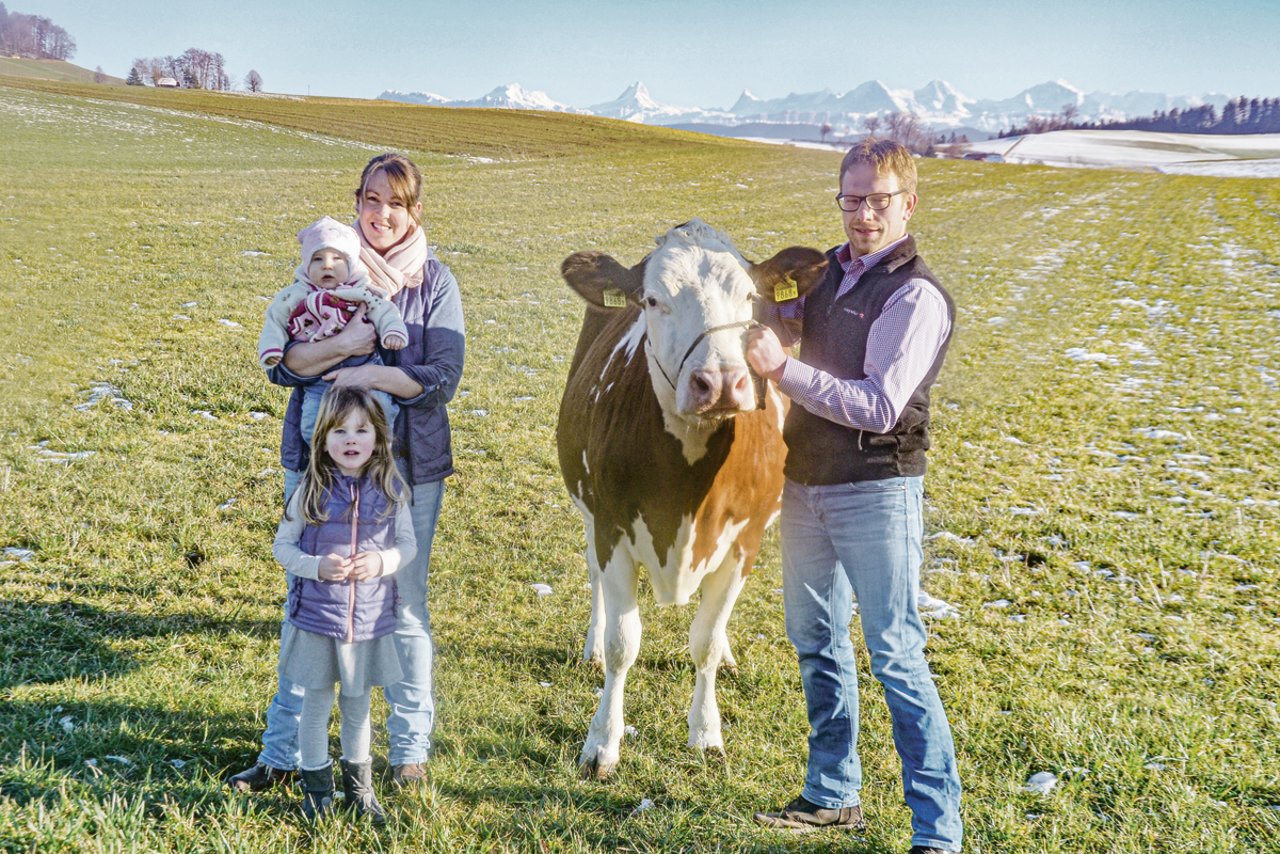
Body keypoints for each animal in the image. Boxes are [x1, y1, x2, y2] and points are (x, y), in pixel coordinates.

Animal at [555, 217, 824, 778]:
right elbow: (623, 643)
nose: (719, 382)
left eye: (750, 298)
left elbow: (704, 641)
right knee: (593, 580)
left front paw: (705, 732)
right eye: (653, 300)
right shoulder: (612, 528)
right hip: (587, 511)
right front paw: (602, 742)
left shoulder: (745, 541)